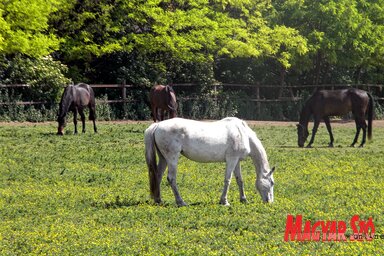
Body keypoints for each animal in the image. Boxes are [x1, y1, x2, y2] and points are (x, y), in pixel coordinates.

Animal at [143, 117, 272, 206]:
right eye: (272, 183)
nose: (270, 201)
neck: (242, 133)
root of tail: (158, 125)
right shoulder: (231, 160)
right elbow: (228, 180)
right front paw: (224, 201)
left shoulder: (236, 161)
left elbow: (239, 180)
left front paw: (244, 199)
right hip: (172, 158)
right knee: (171, 178)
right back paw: (181, 202)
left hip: (163, 158)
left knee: (158, 176)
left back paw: (158, 200)